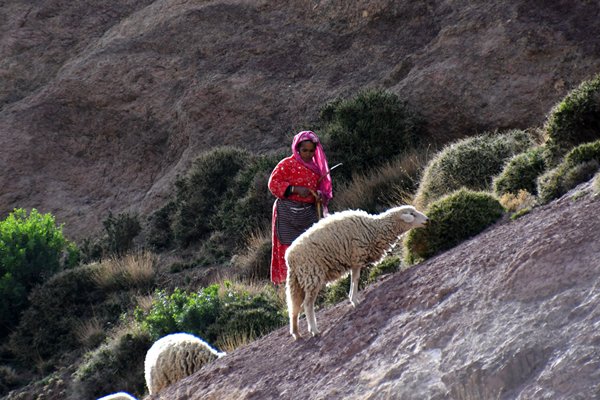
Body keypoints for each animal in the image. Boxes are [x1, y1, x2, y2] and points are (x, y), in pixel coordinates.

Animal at [284, 205, 426, 340]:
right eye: (412, 214)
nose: (427, 220)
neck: (374, 229)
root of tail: (289, 258)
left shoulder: (353, 261)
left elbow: (353, 279)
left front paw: (352, 298)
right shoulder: (357, 257)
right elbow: (356, 278)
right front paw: (355, 300)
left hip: (297, 282)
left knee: (294, 308)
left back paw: (296, 333)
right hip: (312, 275)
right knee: (307, 305)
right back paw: (314, 330)